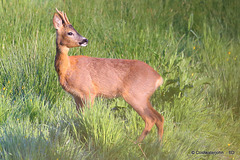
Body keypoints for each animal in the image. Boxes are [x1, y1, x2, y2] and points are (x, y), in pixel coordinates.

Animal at [52, 8, 164, 142]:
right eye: (70, 33)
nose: (85, 40)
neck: (68, 68)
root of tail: (158, 78)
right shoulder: (76, 96)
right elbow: (78, 117)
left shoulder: (89, 91)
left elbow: (87, 115)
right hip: (144, 96)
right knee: (159, 117)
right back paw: (158, 144)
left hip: (136, 95)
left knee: (151, 119)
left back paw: (136, 142)